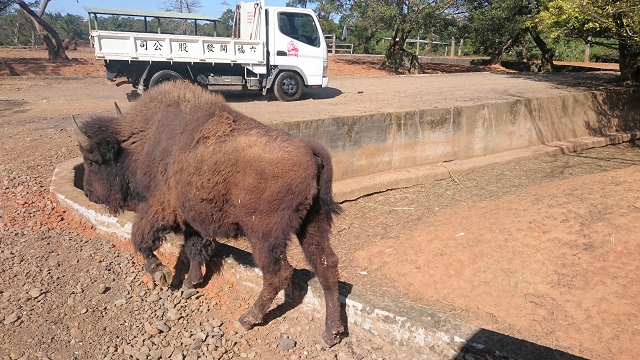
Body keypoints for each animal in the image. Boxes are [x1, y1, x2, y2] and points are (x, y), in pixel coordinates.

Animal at [74, 81, 344, 346]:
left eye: (92, 162)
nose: (88, 192)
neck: (143, 142)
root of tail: (310, 149)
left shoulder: (159, 207)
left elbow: (141, 238)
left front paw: (162, 274)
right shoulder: (193, 218)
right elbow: (195, 246)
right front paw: (191, 282)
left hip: (265, 235)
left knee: (278, 273)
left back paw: (247, 319)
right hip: (312, 224)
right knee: (326, 265)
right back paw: (331, 333)